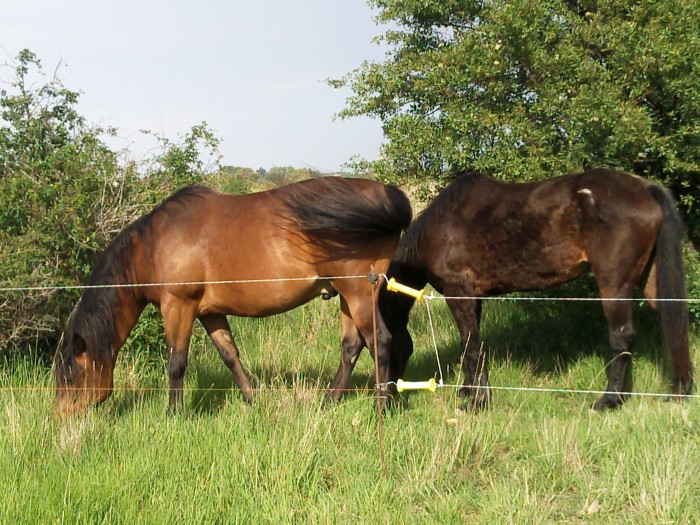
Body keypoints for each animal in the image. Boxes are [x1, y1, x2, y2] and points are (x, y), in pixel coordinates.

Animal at [57, 176, 412, 414]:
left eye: (72, 374)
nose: (59, 417)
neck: (153, 247)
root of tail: (390, 198)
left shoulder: (178, 306)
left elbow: (176, 363)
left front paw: (174, 414)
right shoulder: (209, 311)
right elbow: (230, 355)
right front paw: (252, 399)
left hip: (358, 293)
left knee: (379, 342)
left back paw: (380, 407)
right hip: (345, 295)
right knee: (351, 346)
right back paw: (329, 400)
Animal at [382, 168, 696, 410]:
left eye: (384, 346)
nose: (389, 391)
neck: (437, 229)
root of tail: (646, 188)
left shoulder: (459, 295)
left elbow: (472, 346)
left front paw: (477, 402)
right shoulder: (473, 299)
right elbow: (469, 344)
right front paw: (468, 390)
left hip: (614, 284)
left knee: (622, 336)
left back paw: (608, 401)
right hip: (650, 280)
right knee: (672, 320)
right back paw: (680, 390)